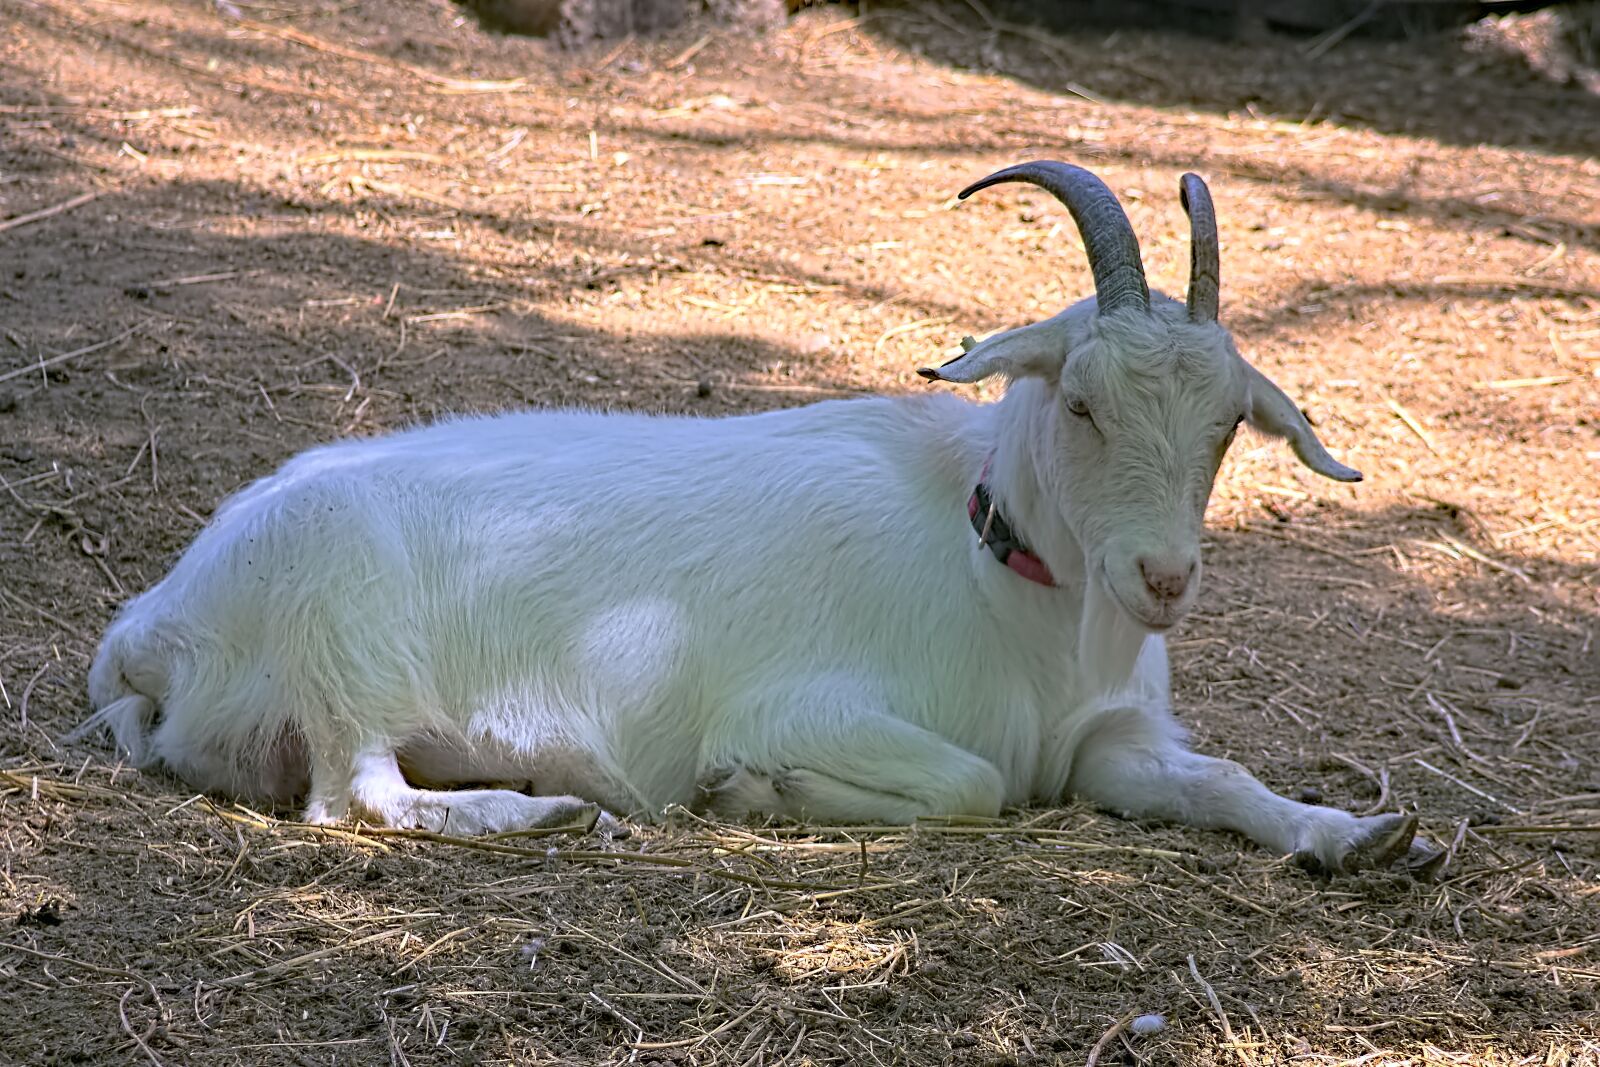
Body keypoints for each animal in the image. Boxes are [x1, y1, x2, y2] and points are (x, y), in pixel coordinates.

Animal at [81, 162, 1429, 873]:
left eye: (1227, 427)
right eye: (1083, 400)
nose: (1161, 578)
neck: (995, 568)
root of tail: (151, 625)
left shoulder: (1107, 741)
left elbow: (1221, 778)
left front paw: (1355, 828)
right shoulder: (811, 702)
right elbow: (972, 782)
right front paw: (750, 790)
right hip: (347, 648)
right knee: (358, 796)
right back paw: (550, 805)